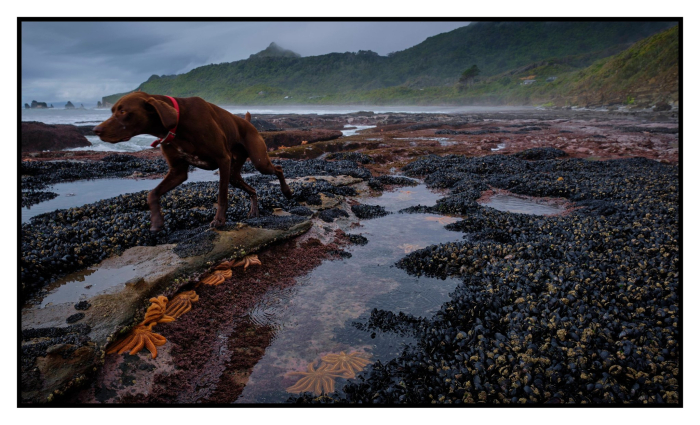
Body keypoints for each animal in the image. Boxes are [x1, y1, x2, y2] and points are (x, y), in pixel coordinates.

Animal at [93, 91, 292, 232]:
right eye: (112, 111)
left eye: (123, 111)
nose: (96, 130)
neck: (177, 122)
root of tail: (248, 123)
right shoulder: (178, 172)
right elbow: (152, 194)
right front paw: (157, 221)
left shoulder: (223, 159)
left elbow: (221, 196)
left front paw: (219, 220)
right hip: (234, 175)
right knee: (252, 189)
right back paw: (254, 210)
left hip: (259, 161)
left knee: (278, 168)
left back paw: (287, 191)